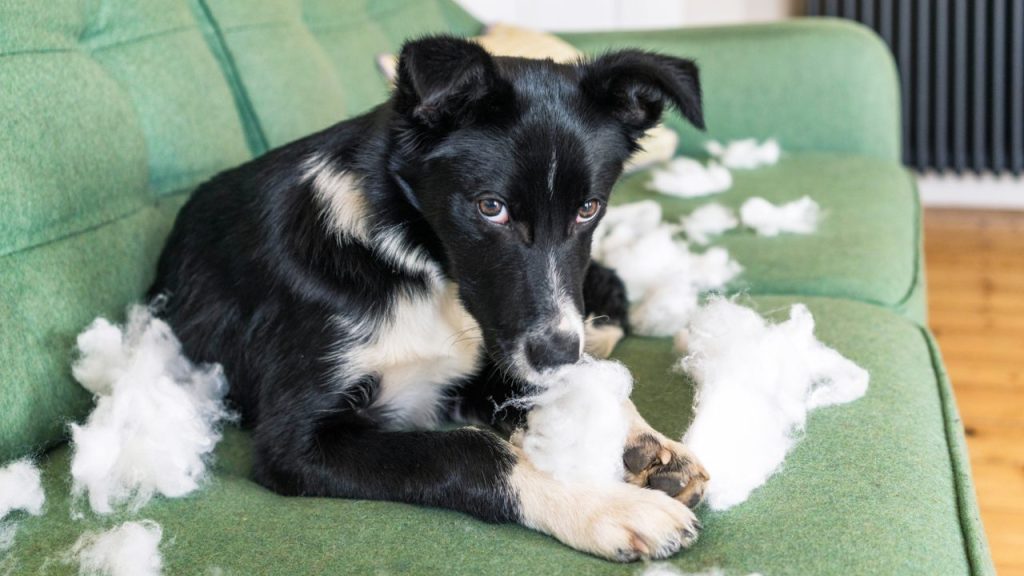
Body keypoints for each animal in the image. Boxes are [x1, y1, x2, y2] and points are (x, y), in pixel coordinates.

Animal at [151, 35, 708, 561]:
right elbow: (469, 450)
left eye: (589, 208)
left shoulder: (491, 351)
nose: (558, 354)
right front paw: (603, 505)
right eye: (490, 207)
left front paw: (637, 438)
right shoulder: (294, 442)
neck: (414, 265)